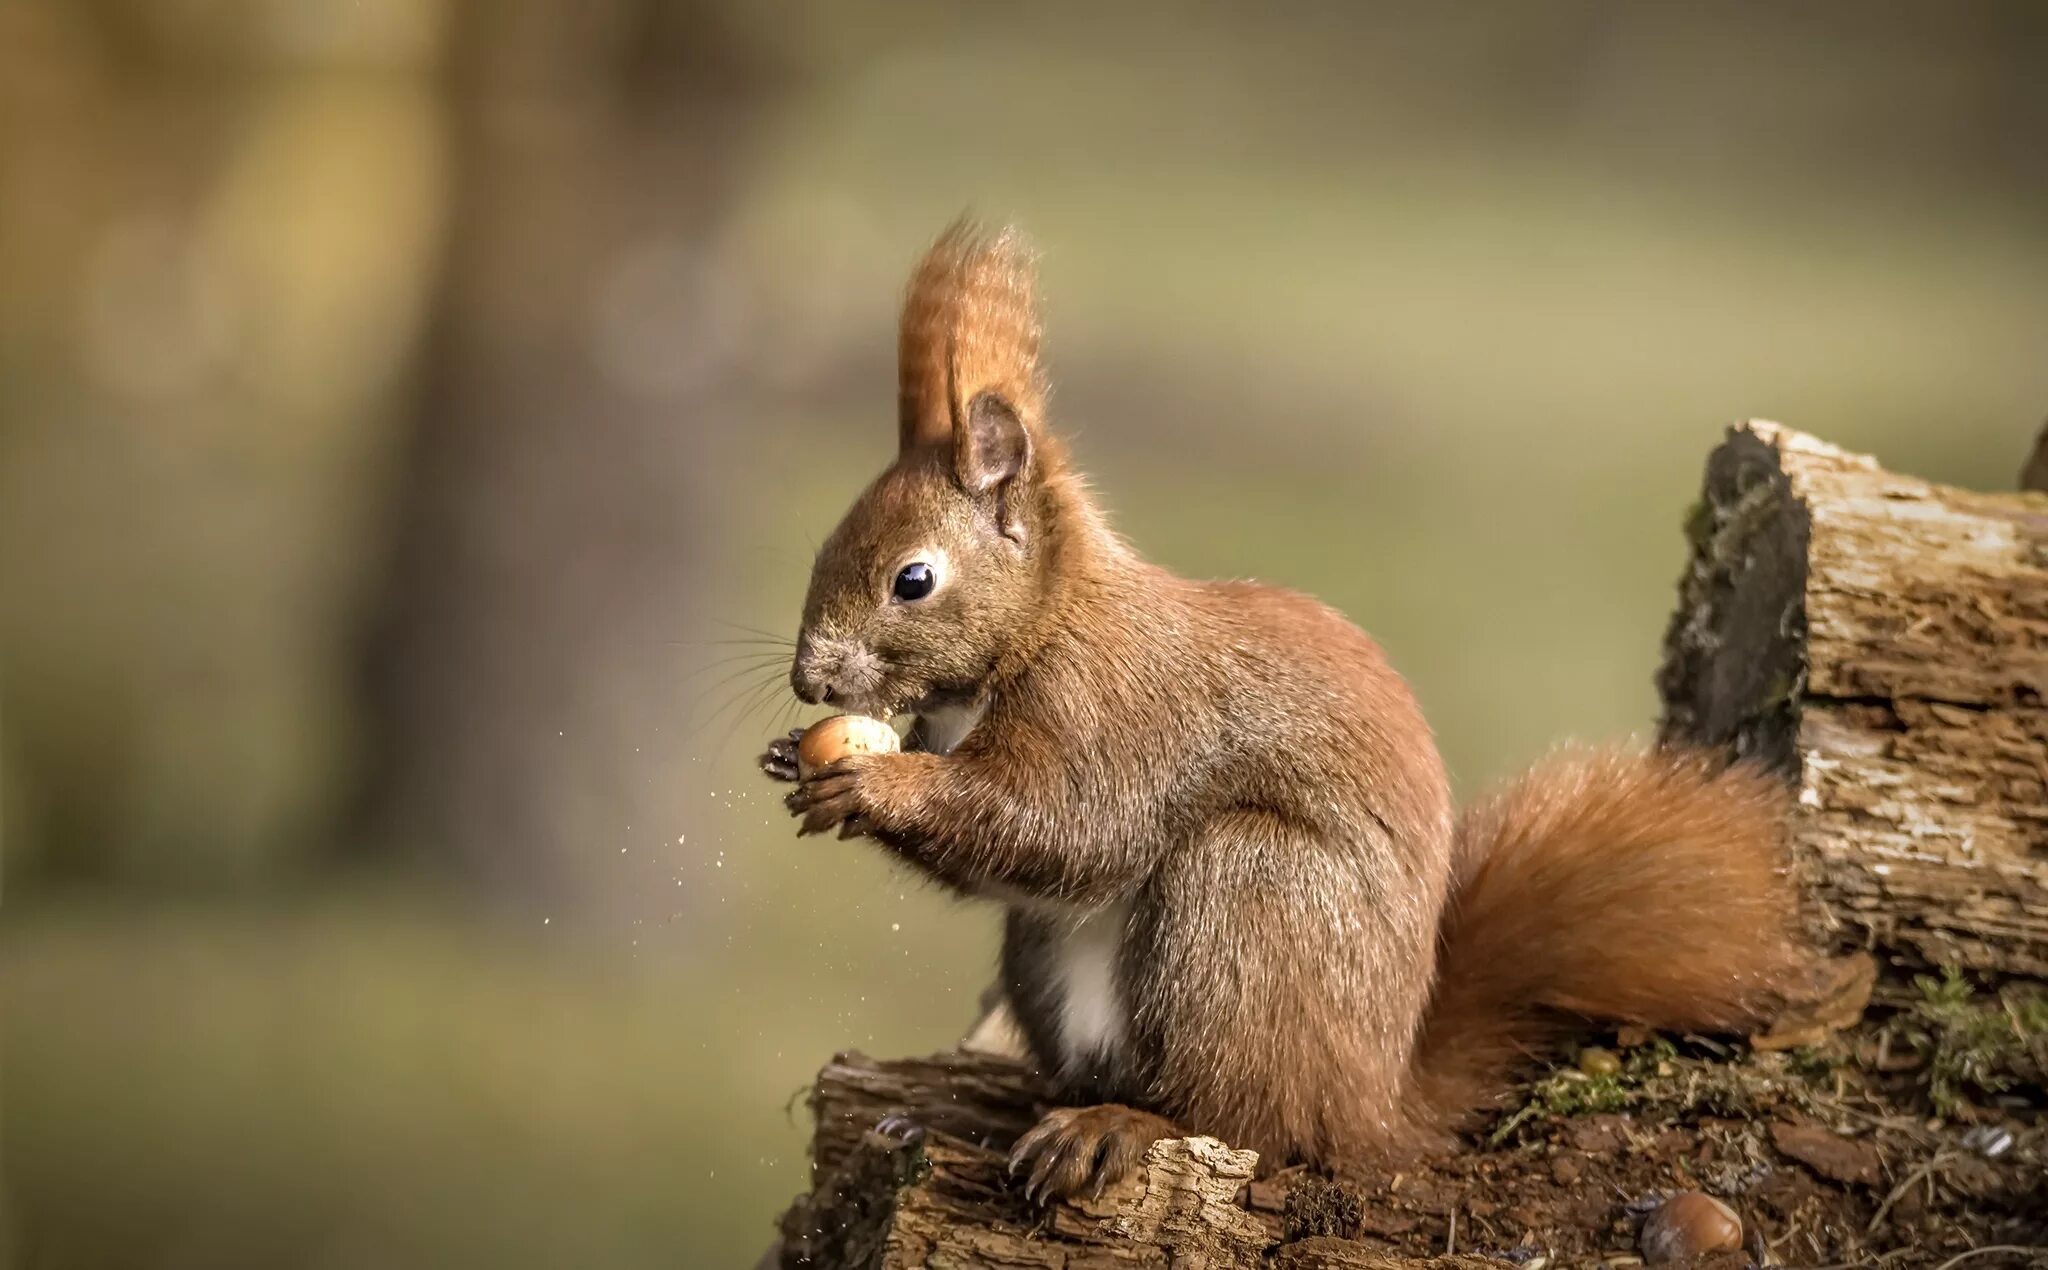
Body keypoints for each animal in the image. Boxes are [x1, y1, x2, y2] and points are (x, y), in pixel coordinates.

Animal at [765, 218, 1810, 1204]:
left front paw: (873, 782)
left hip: (1246, 899)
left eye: (913, 580)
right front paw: (794, 761)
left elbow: (1069, 827)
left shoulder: (1118, 710)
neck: (1040, 629)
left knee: (1242, 1121)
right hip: (1052, 956)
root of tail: (1372, 1108)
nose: (812, 681)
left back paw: (1115, 1127)